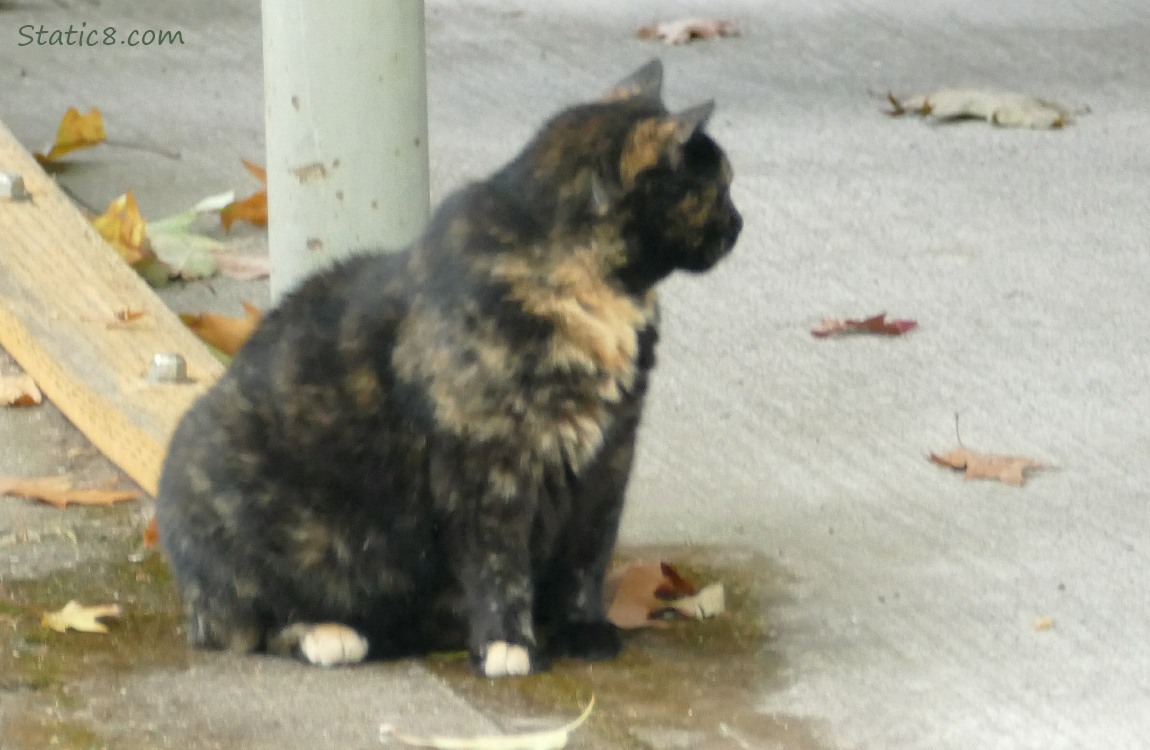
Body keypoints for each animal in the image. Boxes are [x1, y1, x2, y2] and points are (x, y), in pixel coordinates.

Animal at [157, 61, 740, 676]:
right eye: (720, 186)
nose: (739, 224)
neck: (595, 296)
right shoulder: (485, 461)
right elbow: (497, 562)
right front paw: (508, 643)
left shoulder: (609, 454)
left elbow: (587, 554)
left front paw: (584, 628)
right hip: (229, 484)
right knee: (244, 625)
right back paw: (330, 634)